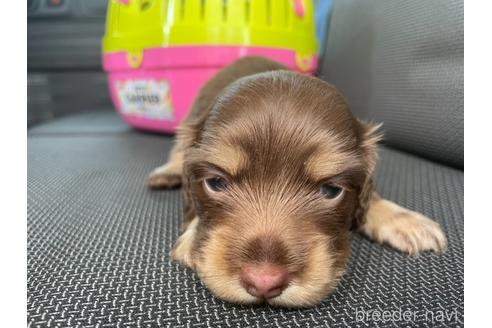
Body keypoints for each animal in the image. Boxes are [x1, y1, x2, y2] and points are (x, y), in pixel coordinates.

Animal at [145, 56, 446, 308]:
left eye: (331, 190)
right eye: (216, 183)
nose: (263, 283)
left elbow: (371, 197)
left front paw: (401, 219)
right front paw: (192, 234)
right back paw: (166, 172)